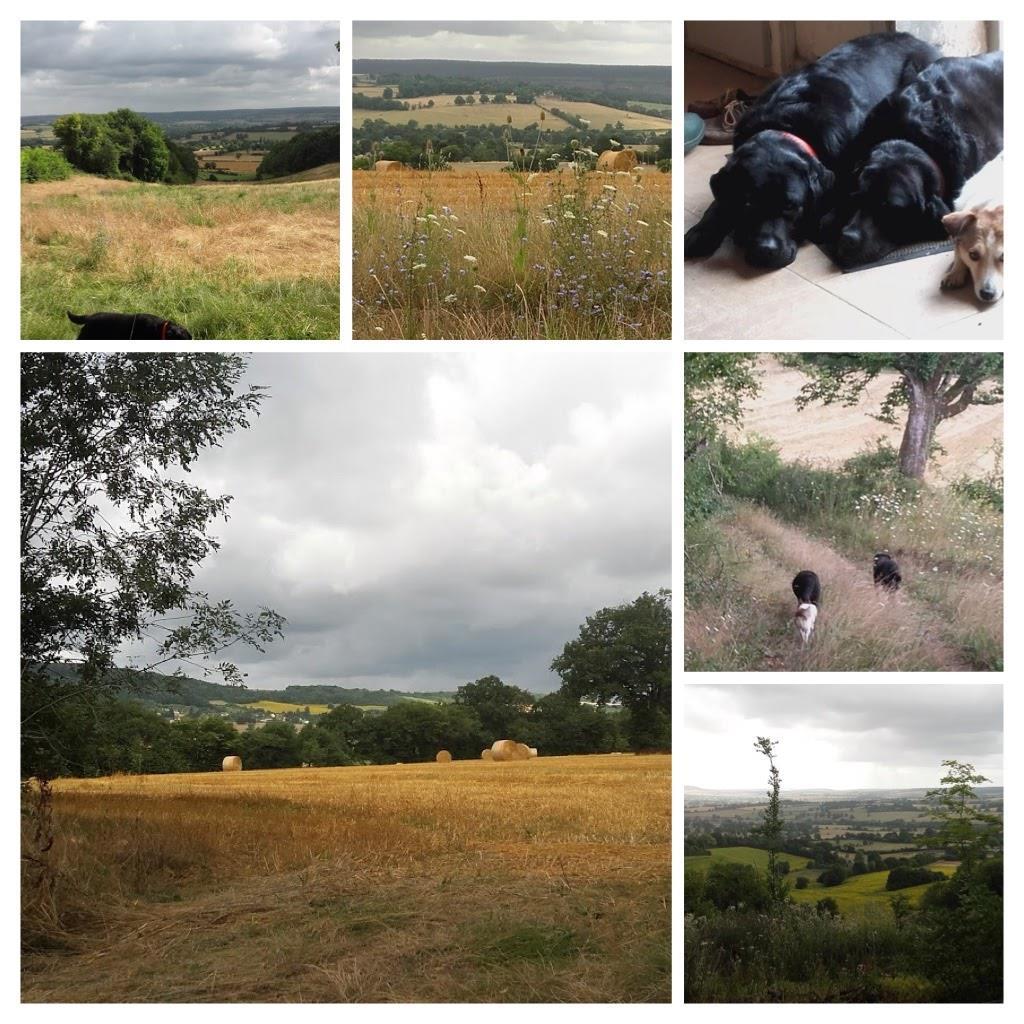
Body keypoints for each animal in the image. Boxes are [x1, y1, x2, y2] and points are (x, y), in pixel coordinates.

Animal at [684, 33, 937, 268]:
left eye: (790, 206)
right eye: (748, 204)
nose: (765, 249)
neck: (785, 124)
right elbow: (719, 202)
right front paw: (701, 232)